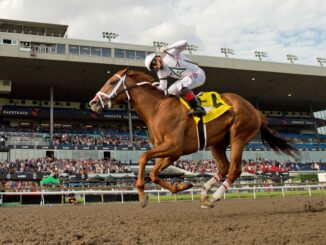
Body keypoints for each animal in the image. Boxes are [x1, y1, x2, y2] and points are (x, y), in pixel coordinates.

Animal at [90, 68, 298, 208]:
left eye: (111, 82)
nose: (93, 103)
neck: (157, 108)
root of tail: (255, 110)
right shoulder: (172, 153)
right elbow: (154, 173)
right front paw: (182, 185)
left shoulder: (173, 147)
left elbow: (142, 158)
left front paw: (141, 194)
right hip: (217, 143)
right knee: (223, 168)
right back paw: (205, 193)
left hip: (238, 137)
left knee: (234, 169)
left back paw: (214, 197)